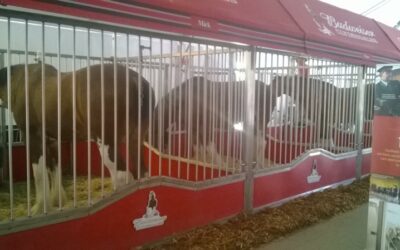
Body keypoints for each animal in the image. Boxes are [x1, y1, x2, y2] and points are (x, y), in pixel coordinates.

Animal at [0, 63, 155, 214]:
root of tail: (135, 80)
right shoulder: (53, 141)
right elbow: (54, 167)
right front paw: (58, 200)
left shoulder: (33, 137)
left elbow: (39, 173)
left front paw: (39, 208)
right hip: (135, 141)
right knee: (142, 172)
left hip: (106, 143)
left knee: (122, 176)